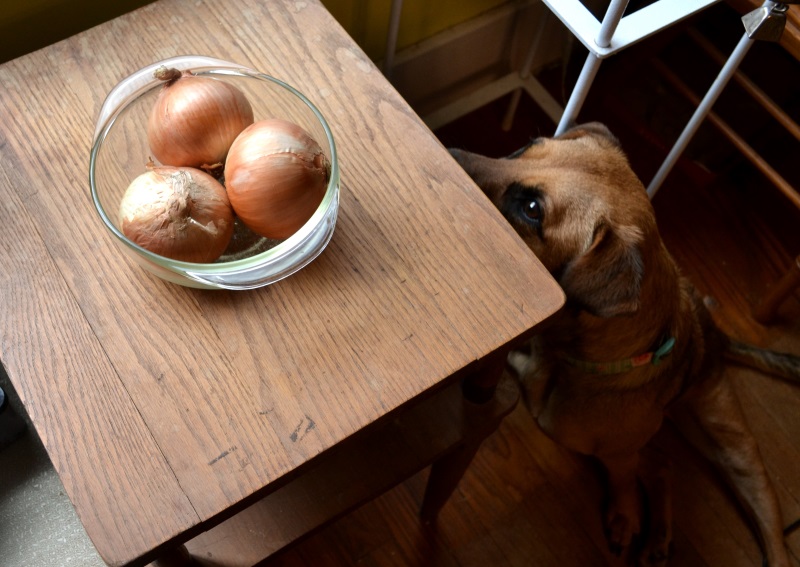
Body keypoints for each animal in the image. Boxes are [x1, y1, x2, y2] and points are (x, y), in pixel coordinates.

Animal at [450, 124, 800, 567]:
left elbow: (624, 478)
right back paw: (657, 539)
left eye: (532, 209)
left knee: (767, 528)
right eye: (529, 145)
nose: (444, 151)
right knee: (661, 463)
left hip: (738, 454)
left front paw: (624, 512)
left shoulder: (613, 449)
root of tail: (715, 336)